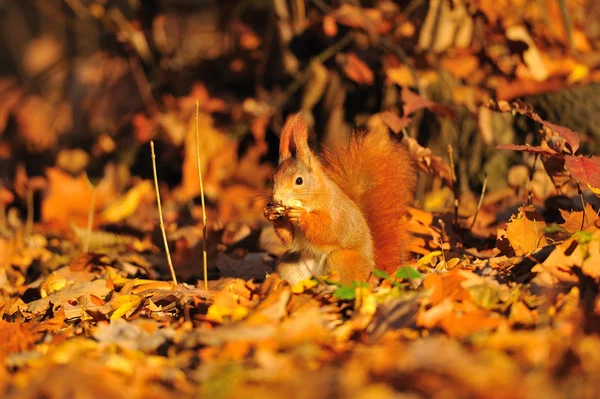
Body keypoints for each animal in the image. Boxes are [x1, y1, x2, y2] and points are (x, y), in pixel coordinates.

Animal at [262, 114, 418, 286]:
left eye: (299, 181)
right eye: (273, 179)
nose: (277, 198)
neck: (312, 199)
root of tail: (373, 272)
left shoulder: (334, 211)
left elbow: (329, 231)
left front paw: (301, 215)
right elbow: (290, 240)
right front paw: (271, 214)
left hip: (341, 259)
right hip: (290, 266)